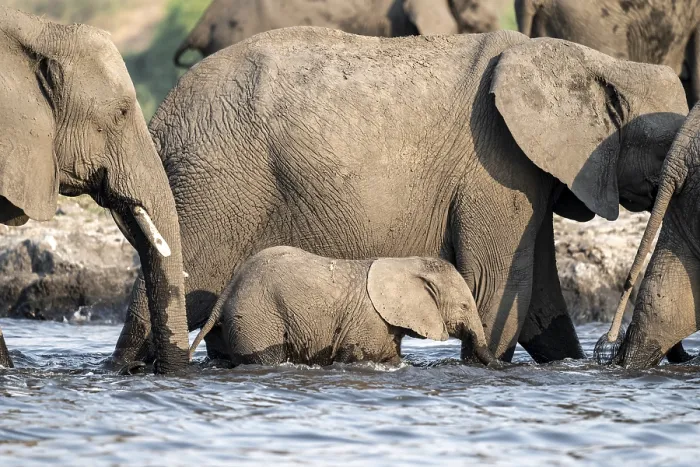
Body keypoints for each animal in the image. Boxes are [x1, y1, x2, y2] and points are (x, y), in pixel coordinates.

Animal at [189, 246, 497, 366]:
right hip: (258, 317)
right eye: (464, 306)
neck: (407, 263)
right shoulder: (369, 321)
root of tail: (228, 291)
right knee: (266, 358)